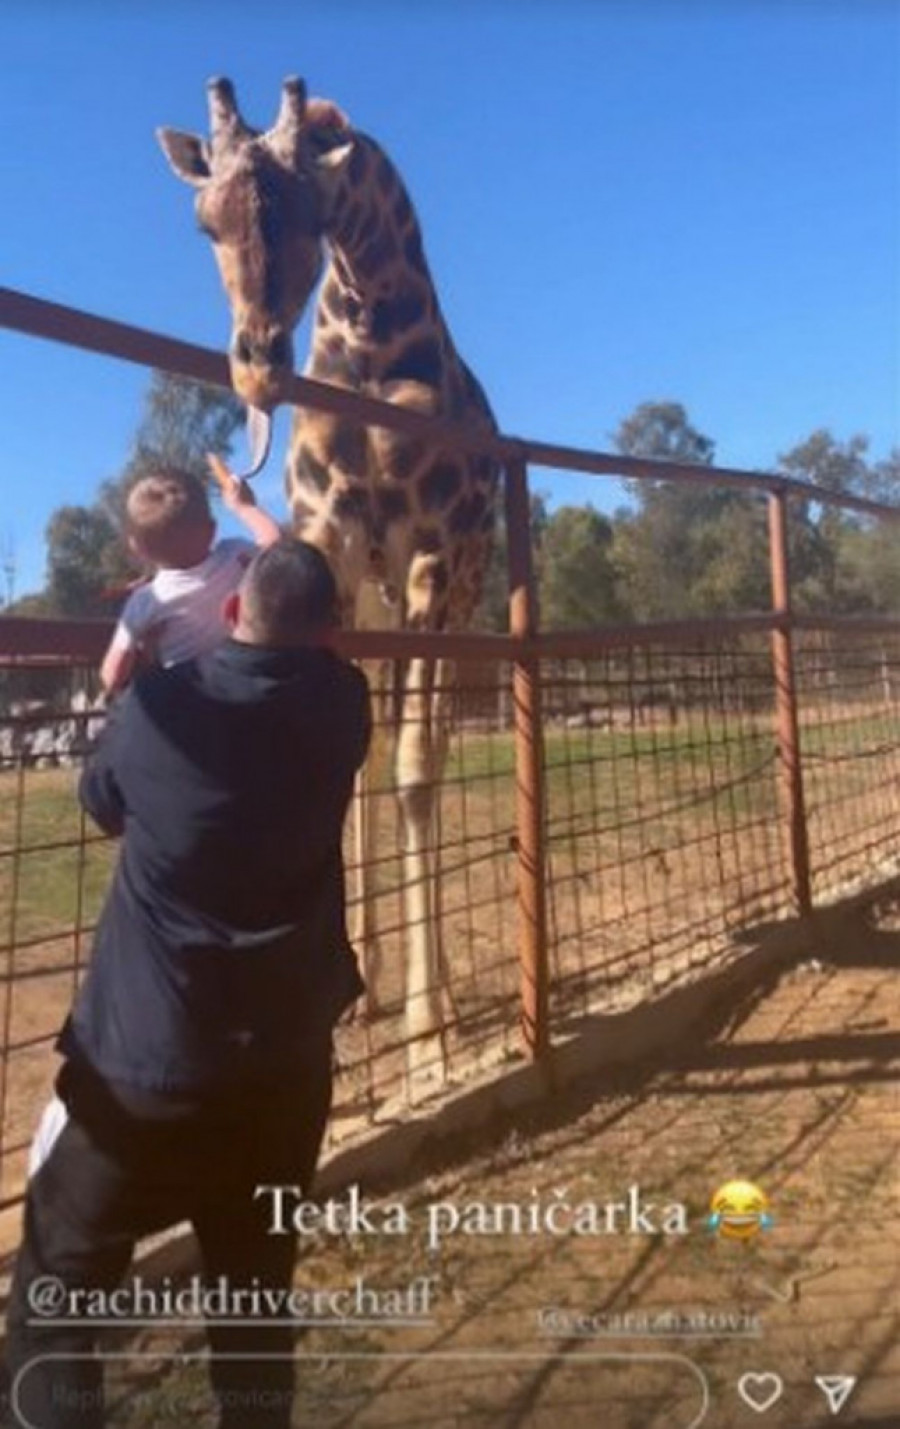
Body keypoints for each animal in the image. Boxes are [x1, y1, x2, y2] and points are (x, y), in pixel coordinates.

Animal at [158, 76, 499, 1081]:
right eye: (205, 220)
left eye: (305, 208)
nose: (254, 364)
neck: (374, 347)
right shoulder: (339, 551)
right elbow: (344, 759)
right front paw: (349, 1000)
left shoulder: (429, 559)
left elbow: (416, 767)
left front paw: (432, 1036)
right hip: (376, 599)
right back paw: (373, 983)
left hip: (459, 593)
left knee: (421, 739)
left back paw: (426, 995)